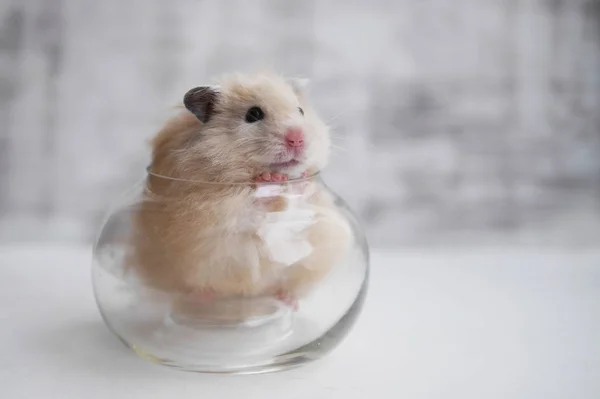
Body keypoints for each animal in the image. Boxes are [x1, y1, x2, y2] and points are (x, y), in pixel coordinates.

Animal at [127, 73, 352, 314]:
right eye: (253, 114)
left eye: (300, 110)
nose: (297, 139)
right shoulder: (217, 211)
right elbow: (252, 208)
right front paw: (270, 180)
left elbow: (300, 203)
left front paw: (299, 178)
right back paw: (202, 297)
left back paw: (288, 300)